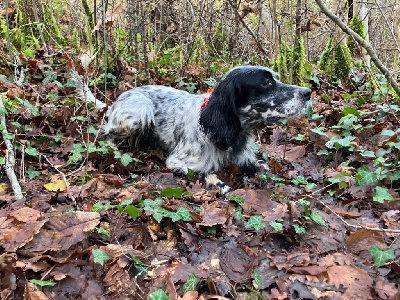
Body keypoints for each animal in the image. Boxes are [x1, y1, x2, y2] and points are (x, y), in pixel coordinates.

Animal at [72, 65, 310, 192]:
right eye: (265, 83)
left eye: (276, 78)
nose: (308, 92)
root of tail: (115, 101)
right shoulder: (180, 162)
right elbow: (215, 179)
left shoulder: (244, 158)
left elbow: (263, 167)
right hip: (141, 112)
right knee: (106, 134)